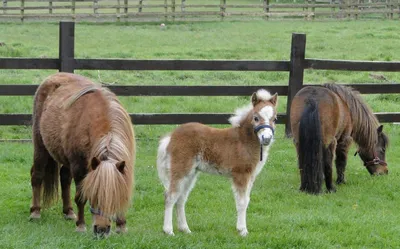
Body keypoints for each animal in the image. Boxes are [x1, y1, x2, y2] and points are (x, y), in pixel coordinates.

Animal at [29, 72, 135, 237]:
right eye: (94, 194)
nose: (101, 230)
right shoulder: (79, 167)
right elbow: (80, 197)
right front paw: (81, 225)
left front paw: (121, 225)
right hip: (41, 147)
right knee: (37, 175)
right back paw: (35, 212)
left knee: (64, 178)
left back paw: (68, 212)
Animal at [156, 88, 278, 236]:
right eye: (256, 118)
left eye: (275, 118)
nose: (267, 138)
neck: (243, 141)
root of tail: (171, 136)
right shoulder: (240, 174)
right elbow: (242, 202)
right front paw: (242, 230)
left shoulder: (251, 176)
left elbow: (247, 200)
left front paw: (242, 228)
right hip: (180, 169)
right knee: (170, 196)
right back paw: (168, 230)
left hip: (191, 173)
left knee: (181, 198)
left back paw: (185, 229)